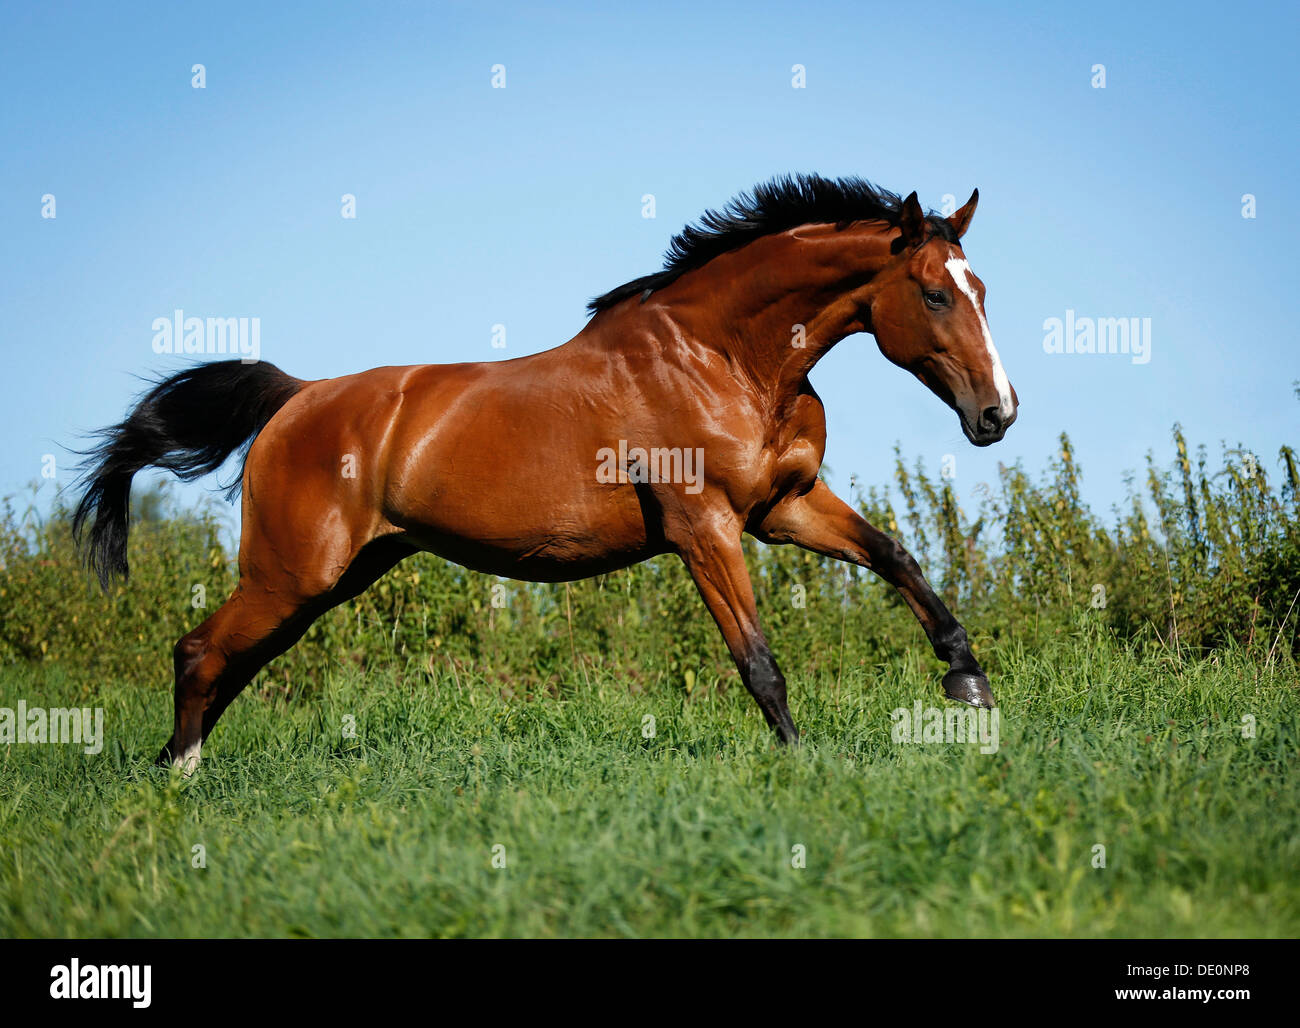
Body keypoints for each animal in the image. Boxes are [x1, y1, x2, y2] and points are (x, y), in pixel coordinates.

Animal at [73, 176, 1013, 769]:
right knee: (200, 652)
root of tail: (296, 398)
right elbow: (756, 658)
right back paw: (178, 778)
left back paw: (175, 765)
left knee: (233, 663)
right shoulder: (704, 526)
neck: (724, 357)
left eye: (982, 291)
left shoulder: (784, 507)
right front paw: (801, 761)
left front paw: (968, 682)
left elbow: (895, 556)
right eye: (935, 294)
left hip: (331, 578)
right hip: (291, 572)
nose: (998, 414)